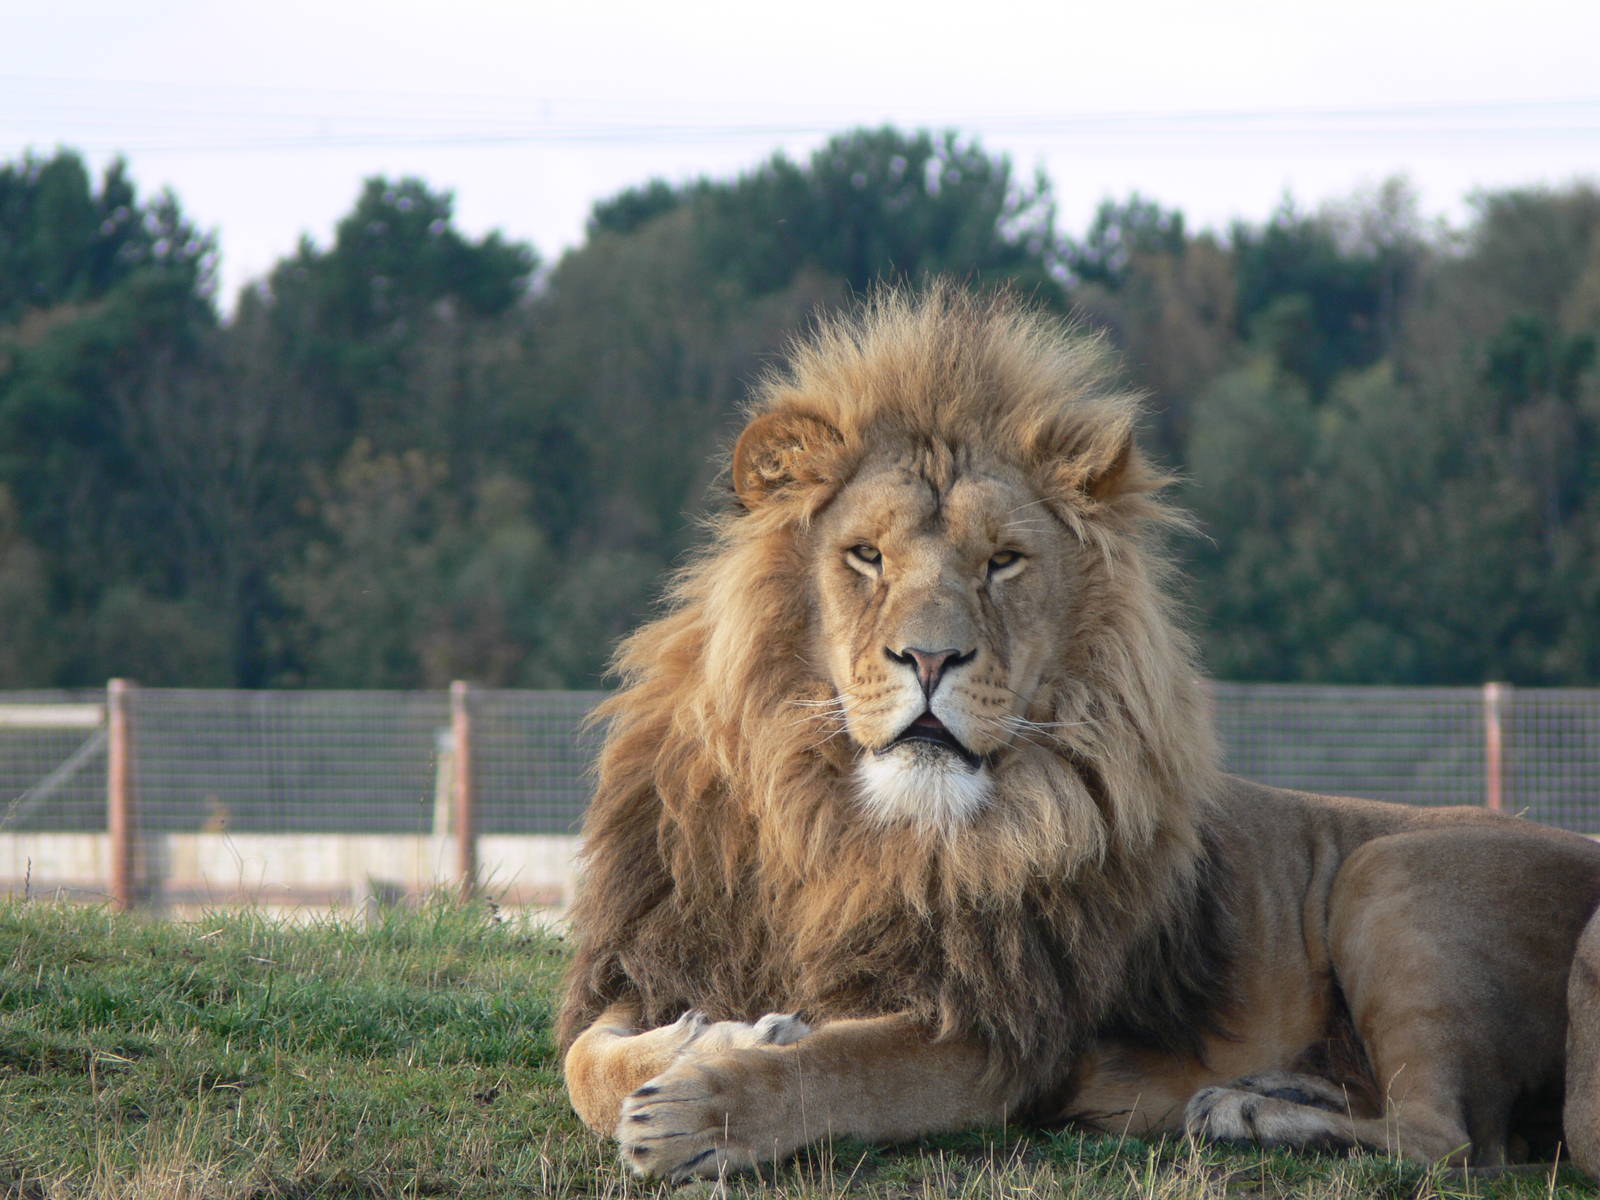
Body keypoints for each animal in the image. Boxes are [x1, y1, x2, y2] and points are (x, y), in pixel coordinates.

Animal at [558, 285, 1600, 1183]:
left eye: (1003, 562)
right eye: (866, 555)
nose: (930, 658)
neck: (846, 833)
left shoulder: (1000, 1034)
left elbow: (843, 1071)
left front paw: (702, 1108)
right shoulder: (667, 946)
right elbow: (584, 1059)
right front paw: (710, 1034)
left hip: (1390, 874)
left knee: (1447, 1139)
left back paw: (1247, 1111)